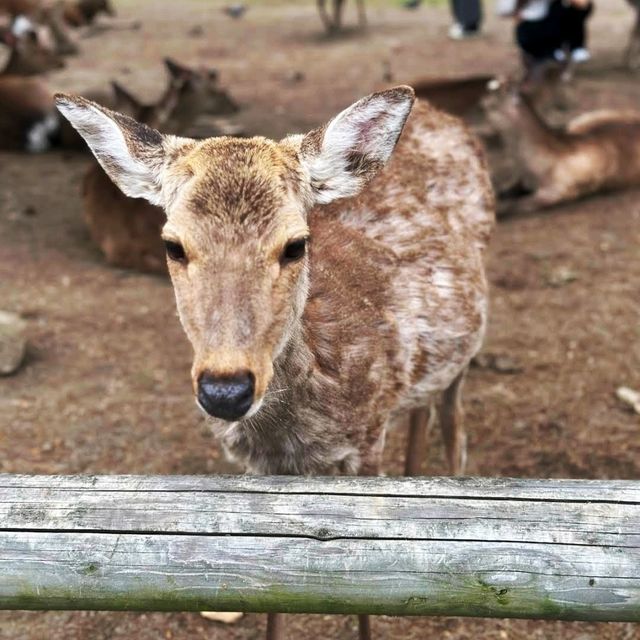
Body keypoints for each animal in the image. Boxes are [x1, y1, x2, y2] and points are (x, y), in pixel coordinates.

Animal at [55, 85, 496, 640]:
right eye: (173, 245)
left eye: (295, 244)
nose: (226, 389)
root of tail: (441, 114)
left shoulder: (369, 436)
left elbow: (367, 592)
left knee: (452, 412)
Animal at [484, 82, 640, 215]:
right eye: (489, 91)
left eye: (492, 103)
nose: (482, 102)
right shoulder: (523, 180)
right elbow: (506, 191)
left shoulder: (556, 193)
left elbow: (515, 205)